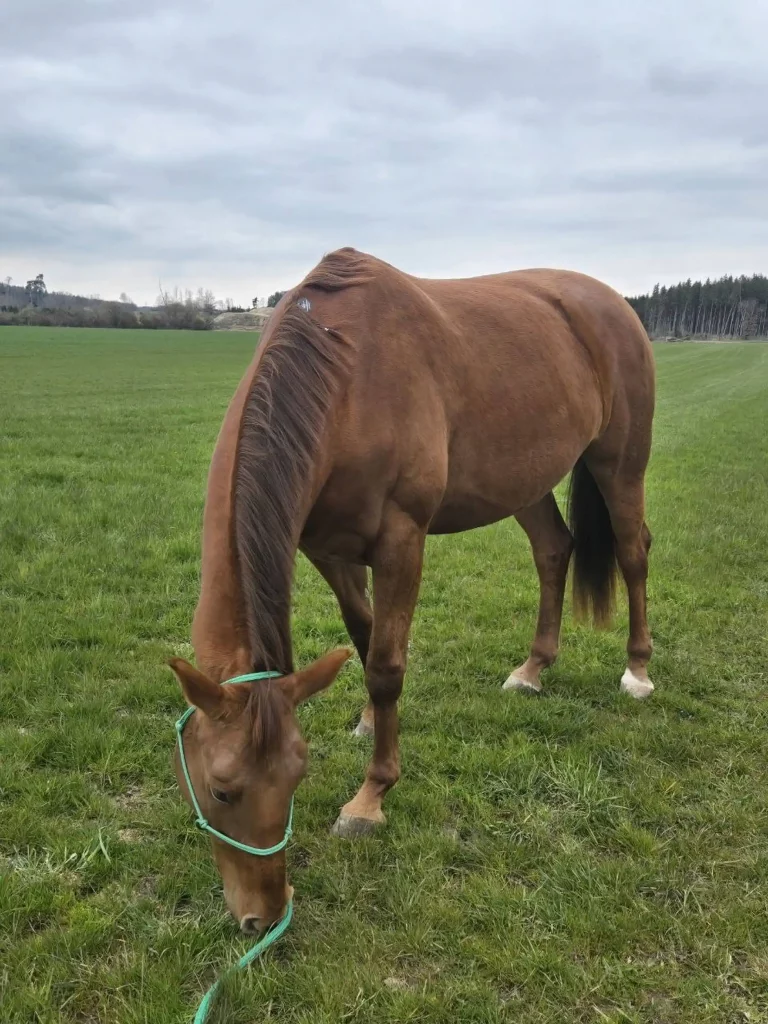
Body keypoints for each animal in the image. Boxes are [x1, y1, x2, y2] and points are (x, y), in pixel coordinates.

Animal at [168, 247, 655, 933]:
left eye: (296, 775)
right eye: (221, 790)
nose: (263, 916)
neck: (344, 374)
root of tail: (613, 303)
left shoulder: (401, 539)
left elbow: (386, 665)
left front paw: (369, 799)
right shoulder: (329, 548)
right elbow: (363, 634)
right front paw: (371, 723)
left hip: (621, 463)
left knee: (634, 554)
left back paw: (637, 671)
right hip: (524, 478)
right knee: (553, 550)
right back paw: (532, 668)